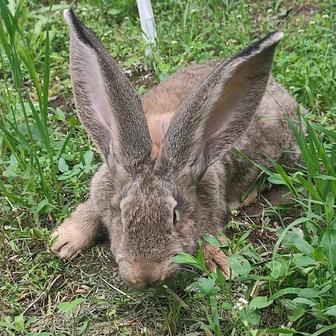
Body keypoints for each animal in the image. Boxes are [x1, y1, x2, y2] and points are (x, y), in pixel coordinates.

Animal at [51, 9, 300, 290]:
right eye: (122, 216)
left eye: (174, 216)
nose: (146, 276)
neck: (157, 148)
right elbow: (91, 208)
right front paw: (63, 240)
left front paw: (217, 263)